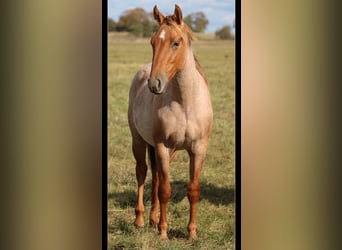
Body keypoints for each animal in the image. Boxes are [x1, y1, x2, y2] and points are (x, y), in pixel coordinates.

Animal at [127, 4, 212, 240]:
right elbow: (165, 190)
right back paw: (140, 219)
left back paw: (153, 218)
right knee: (142, 172)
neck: (185, 104)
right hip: (139, 141)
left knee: (155, 177)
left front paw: (192, 233)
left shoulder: (198, 149)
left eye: (176, 42)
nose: (154, 84)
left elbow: (193, 190)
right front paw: (164, 232)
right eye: (153, 42)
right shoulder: (162, 146)